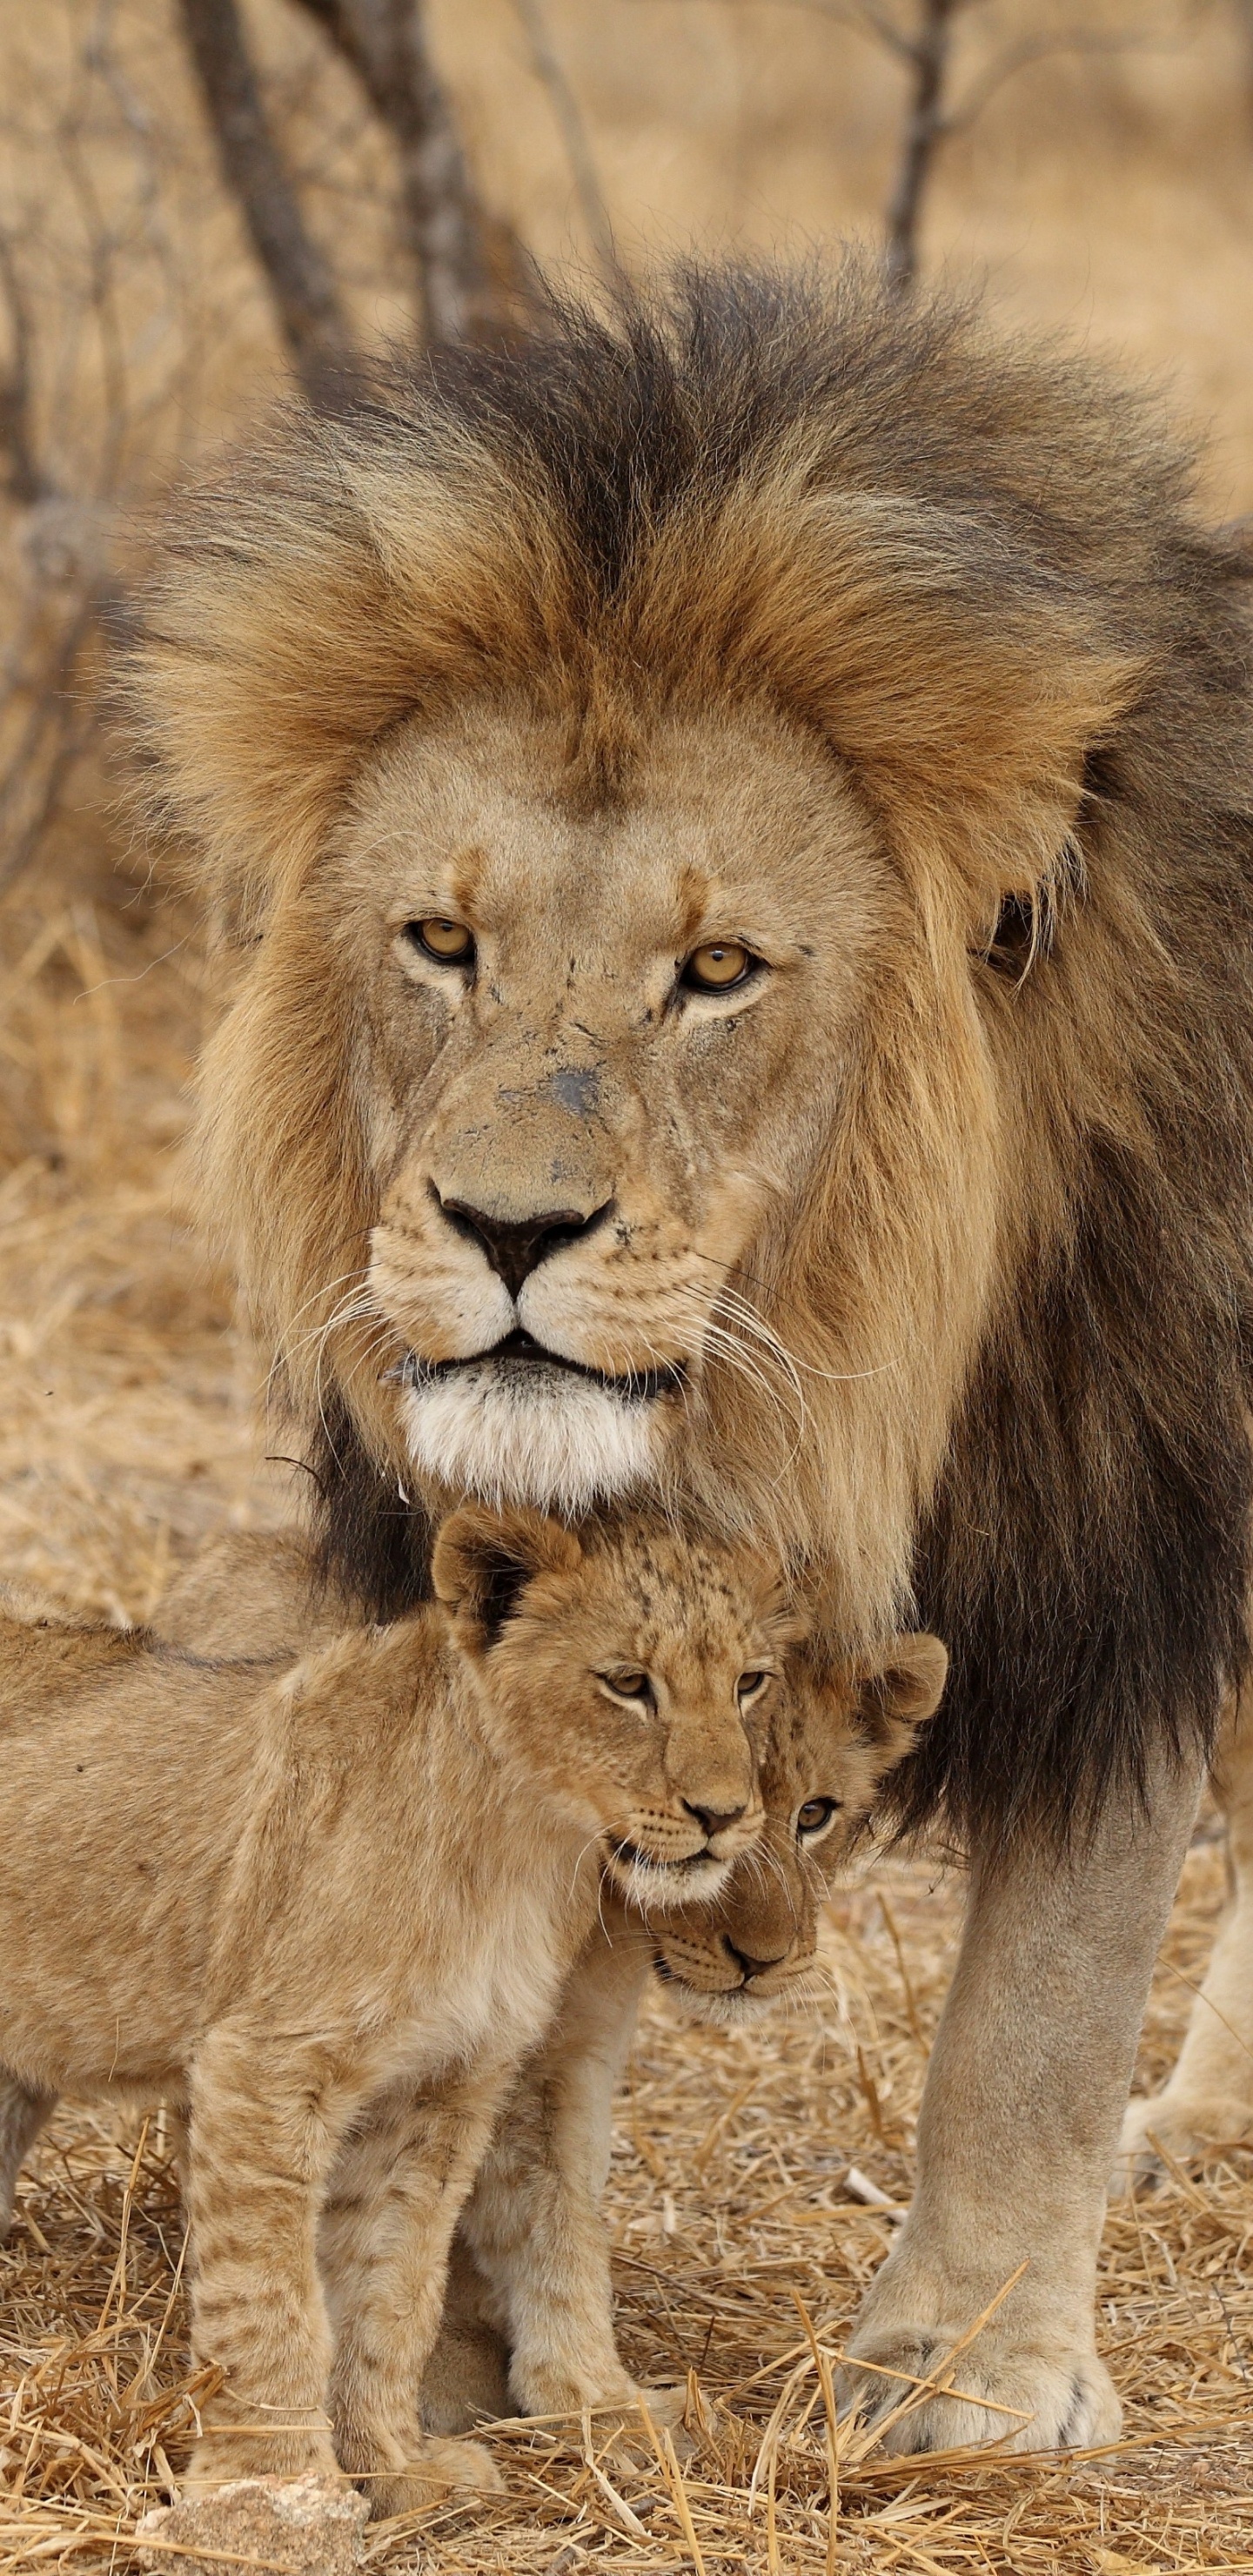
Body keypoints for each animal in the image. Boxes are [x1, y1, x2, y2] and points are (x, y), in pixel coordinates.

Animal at [0, 1505, 789, 2507]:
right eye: (627, 1684)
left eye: (750, 1683)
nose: (725, 1815)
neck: (519, 1844)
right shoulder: (264, 2064)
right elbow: (273, 2300)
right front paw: (276, 2489)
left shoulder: (447, 2083)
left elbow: (391, 2290)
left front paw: (393, 2467)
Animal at [125, 258, 1253, 2451]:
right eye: (440, 942)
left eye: (717, 969)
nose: (505, 1229)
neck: (816, 1390)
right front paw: (461, 2354)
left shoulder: (1127, 1547)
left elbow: (1040, 2006)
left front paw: (967, 2377)